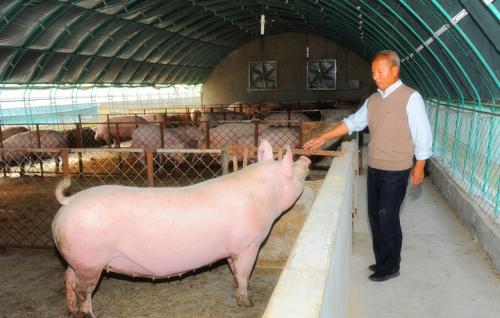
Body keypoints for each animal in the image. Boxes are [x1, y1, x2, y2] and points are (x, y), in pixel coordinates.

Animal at [50, 140, 308, 316]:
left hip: (79, 260)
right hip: (90, 261)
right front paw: (247, 303)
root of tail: (69, 202)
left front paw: (236, 285)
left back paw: (70, 310)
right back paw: (87, 314)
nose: (305, 159)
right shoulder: (248, 245)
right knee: (83, 291)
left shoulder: (232, 249)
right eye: (293, 171)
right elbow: (244, 273)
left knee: (68, 277)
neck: (267, 196)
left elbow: (234, 270)